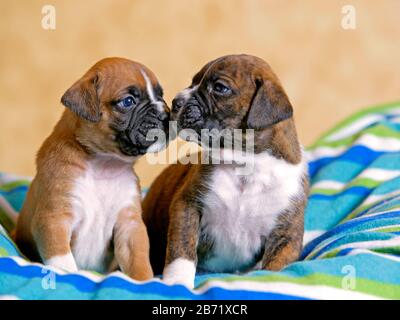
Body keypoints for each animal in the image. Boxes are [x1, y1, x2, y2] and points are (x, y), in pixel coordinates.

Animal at [15, 57, 169, 280]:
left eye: (160, 95)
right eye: (128, 101)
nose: (167, 116)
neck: (105, 164)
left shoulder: (130, 226)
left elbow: (138, 261)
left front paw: (145, 281)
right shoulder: (54, 219)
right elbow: (62, 260)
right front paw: (66, 275)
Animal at [144, 54, 310, 288]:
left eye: (220, 88)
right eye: (193, 81)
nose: (175, 102)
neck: (246, 165)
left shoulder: (286, 234)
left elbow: (276, 265)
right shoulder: (187, 205)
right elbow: (182, 250)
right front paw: (178, 281)